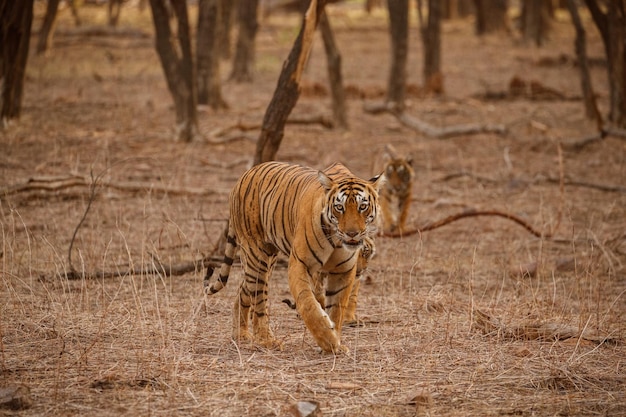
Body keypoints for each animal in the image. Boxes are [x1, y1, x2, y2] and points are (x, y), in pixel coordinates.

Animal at [202, 161, 382, 352]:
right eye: (339, 207)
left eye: (362, 206)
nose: (352, 234)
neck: (336, 240)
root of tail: (244, 176)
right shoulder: (301, 264)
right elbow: (308, 303)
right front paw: (327, 339)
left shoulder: (344, 271)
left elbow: (337, 308)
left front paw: (336, 343)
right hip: (256, 254)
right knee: (258, 300)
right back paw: (266, 340)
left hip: (268, 257)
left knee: (243, 290)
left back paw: (241, 335)